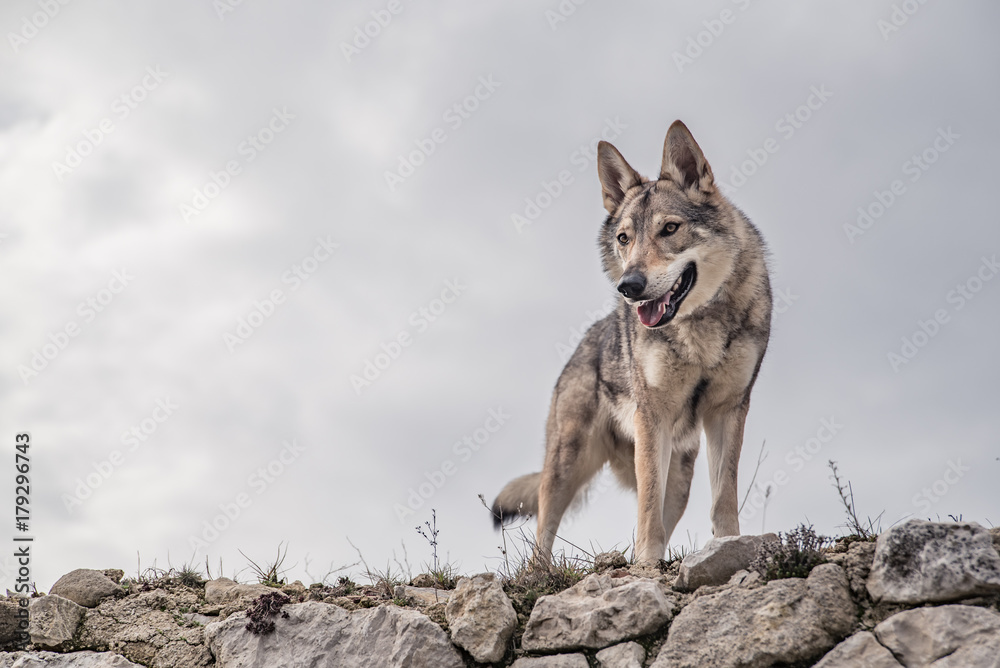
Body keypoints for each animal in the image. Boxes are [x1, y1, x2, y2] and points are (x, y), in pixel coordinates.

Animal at [491, 121, 772, 565]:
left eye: (669, 229)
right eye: (624, 238)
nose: (629, 287)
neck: (699, 330)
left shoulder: (728, 410)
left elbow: (723, 499)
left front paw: (729, 547)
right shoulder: (652, 415)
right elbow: (648, 508)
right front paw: (647, 565)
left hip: (679, 476)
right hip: (567, 464)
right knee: (543, 533)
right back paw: (540, 574)